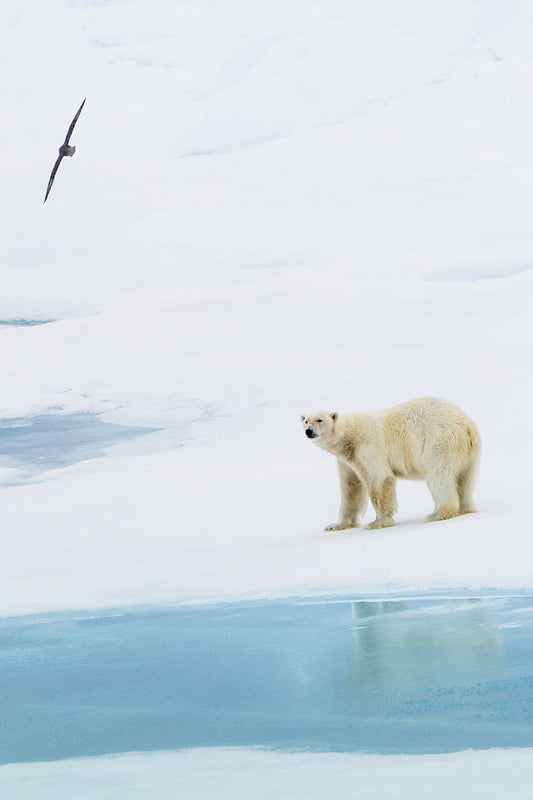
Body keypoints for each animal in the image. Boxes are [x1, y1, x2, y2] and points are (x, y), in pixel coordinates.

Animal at [301, 397, 480, 530]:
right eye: (306, 421)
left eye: (319, 420)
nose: (309, 431)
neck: (349, 437)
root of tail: (467, 426)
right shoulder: (346, 461)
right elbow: (351, 489)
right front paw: (336, 525)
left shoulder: (368, 446)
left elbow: (379, 480)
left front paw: (377, 523)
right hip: (469, 454)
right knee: (466, 479)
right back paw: (466, 508)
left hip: (437, 443)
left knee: (439, 476)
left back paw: (437, 514)